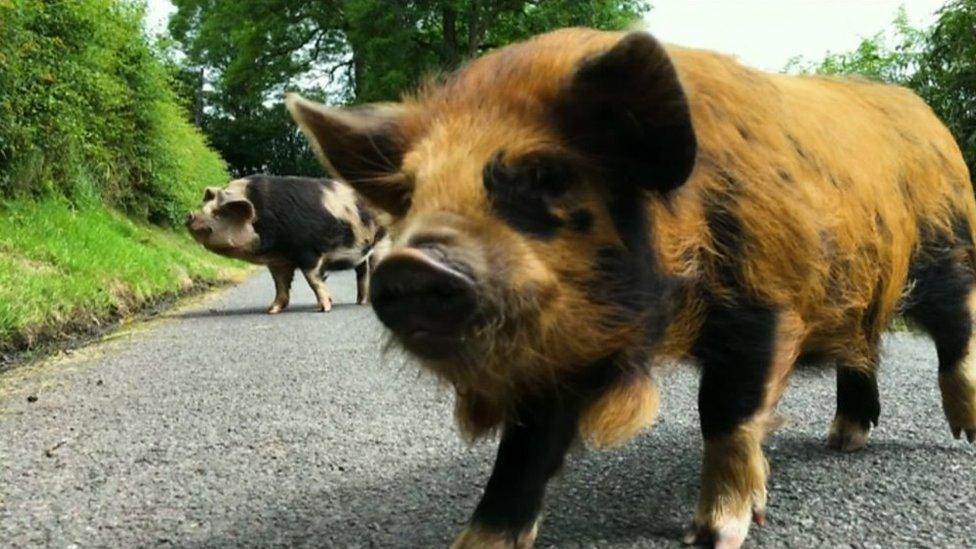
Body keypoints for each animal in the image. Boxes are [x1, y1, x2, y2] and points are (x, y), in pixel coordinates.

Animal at [185, 174, 386, 312]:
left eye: (218, 213)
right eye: (204, 207)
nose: (189, 215)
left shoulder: (309, 253)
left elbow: (313, 280)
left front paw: (324, 308)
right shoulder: (278, 261)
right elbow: (280, 284)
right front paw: (271, 310)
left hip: (383, 241)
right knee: (362, 272)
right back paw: (360, 302)